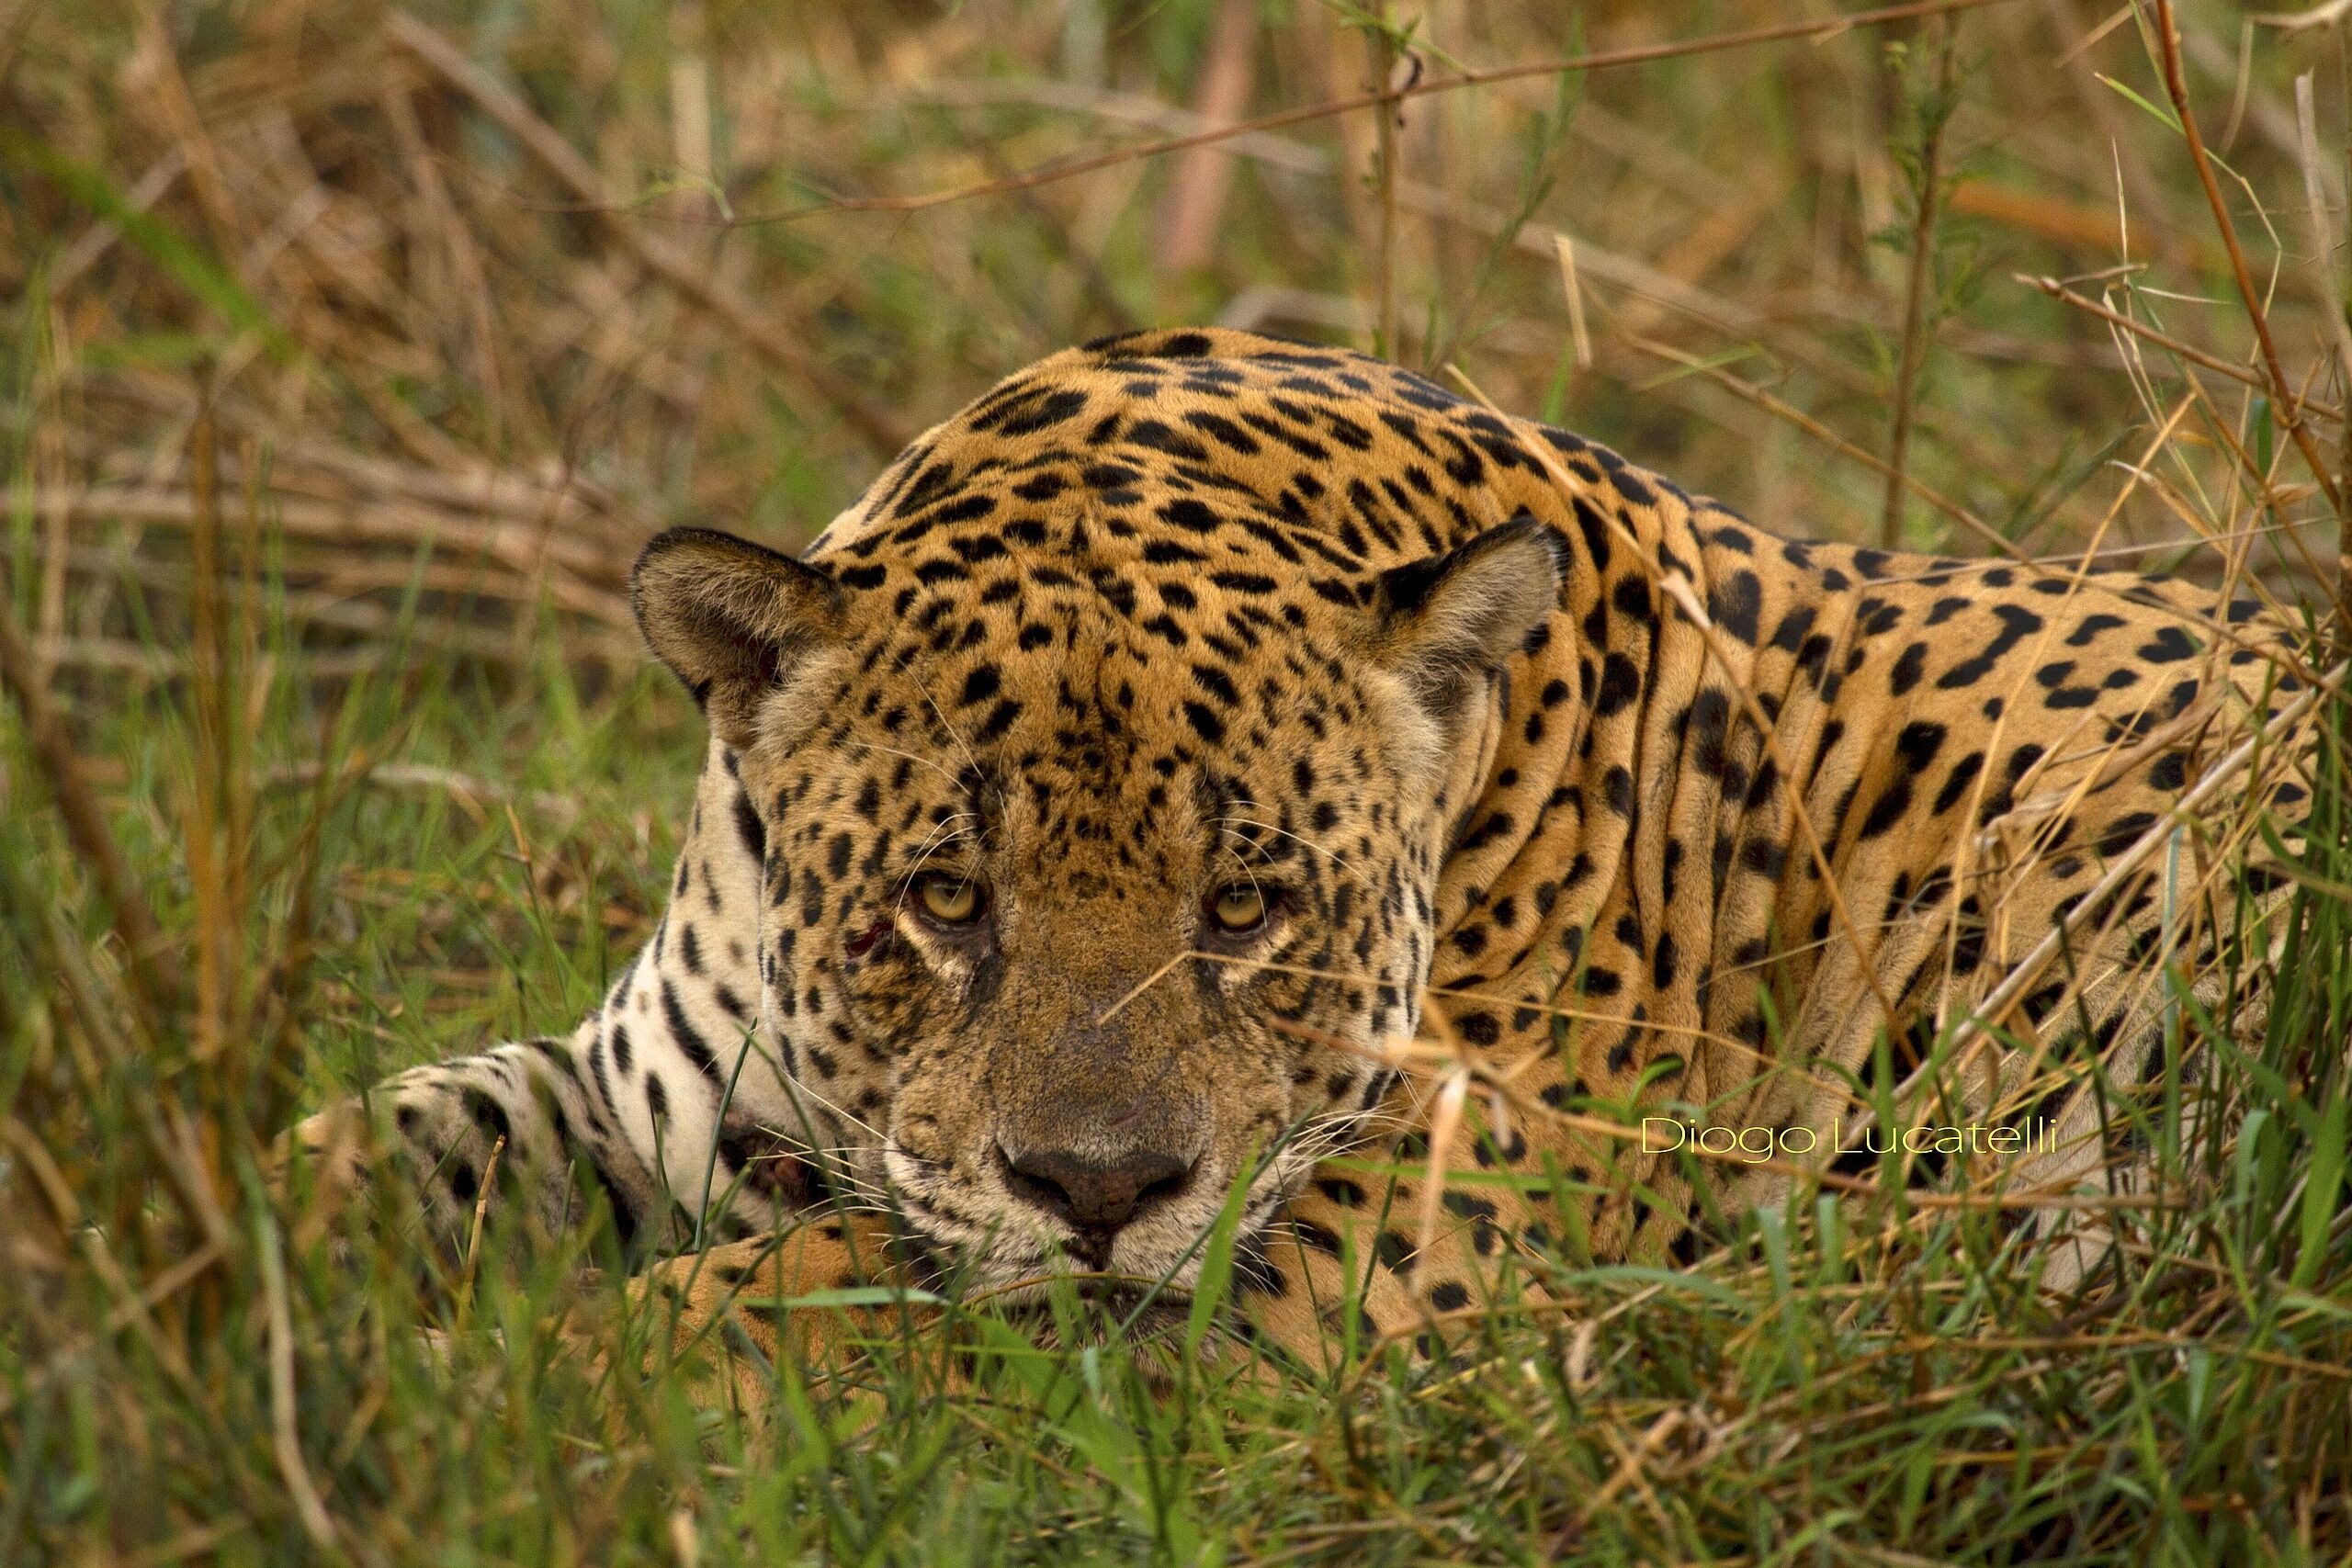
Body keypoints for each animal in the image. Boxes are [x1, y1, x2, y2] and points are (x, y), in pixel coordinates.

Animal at [282, 326, 2315, 1387]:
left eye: (1247, 905)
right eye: (944, 900)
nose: (1100, 1188)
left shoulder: (1328, 1282)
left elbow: (816, 1296)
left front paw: (529, 1385)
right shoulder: (648, 1091)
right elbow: (390, 1145)